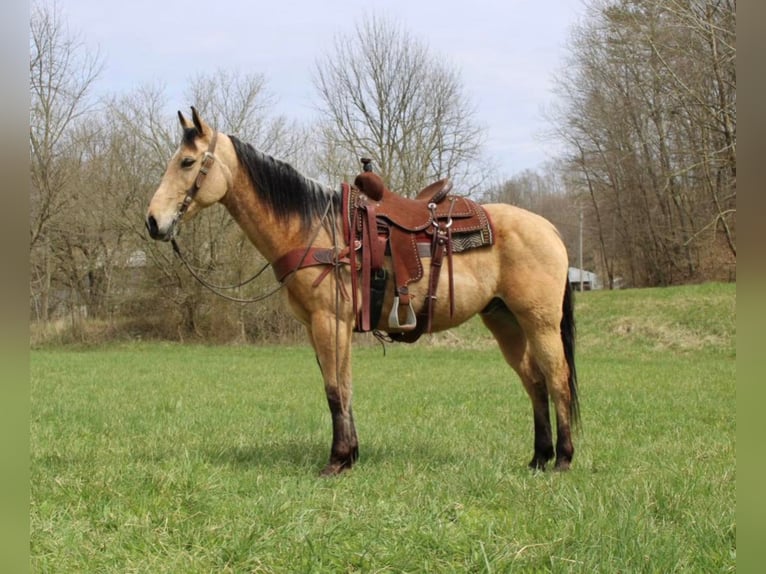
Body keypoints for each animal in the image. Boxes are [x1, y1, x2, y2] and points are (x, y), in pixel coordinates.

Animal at [146, 108, 584, 476]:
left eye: (187, 162)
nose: (153, 221)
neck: (315, 231)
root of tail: (549, 227)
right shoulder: (319, 327)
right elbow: (342, 387)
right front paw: (351, 456)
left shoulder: (329, 321)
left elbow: (335, 390)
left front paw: (336, 460)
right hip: (504, 320)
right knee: (534, 381)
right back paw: (538, 458)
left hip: (539, 321)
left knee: (557, 378)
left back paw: (562, 460)